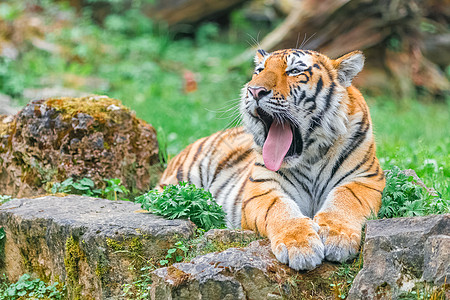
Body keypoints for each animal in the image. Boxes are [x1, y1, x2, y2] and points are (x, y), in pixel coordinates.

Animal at [157, 48, 384, 270]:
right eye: (259, 70)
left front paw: (338, 238)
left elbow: (345, 199)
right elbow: (280, 209)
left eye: (294, 71)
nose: (255, 91)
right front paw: (300, 246)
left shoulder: (366, 179)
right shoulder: (261, 187)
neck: (310, 156)